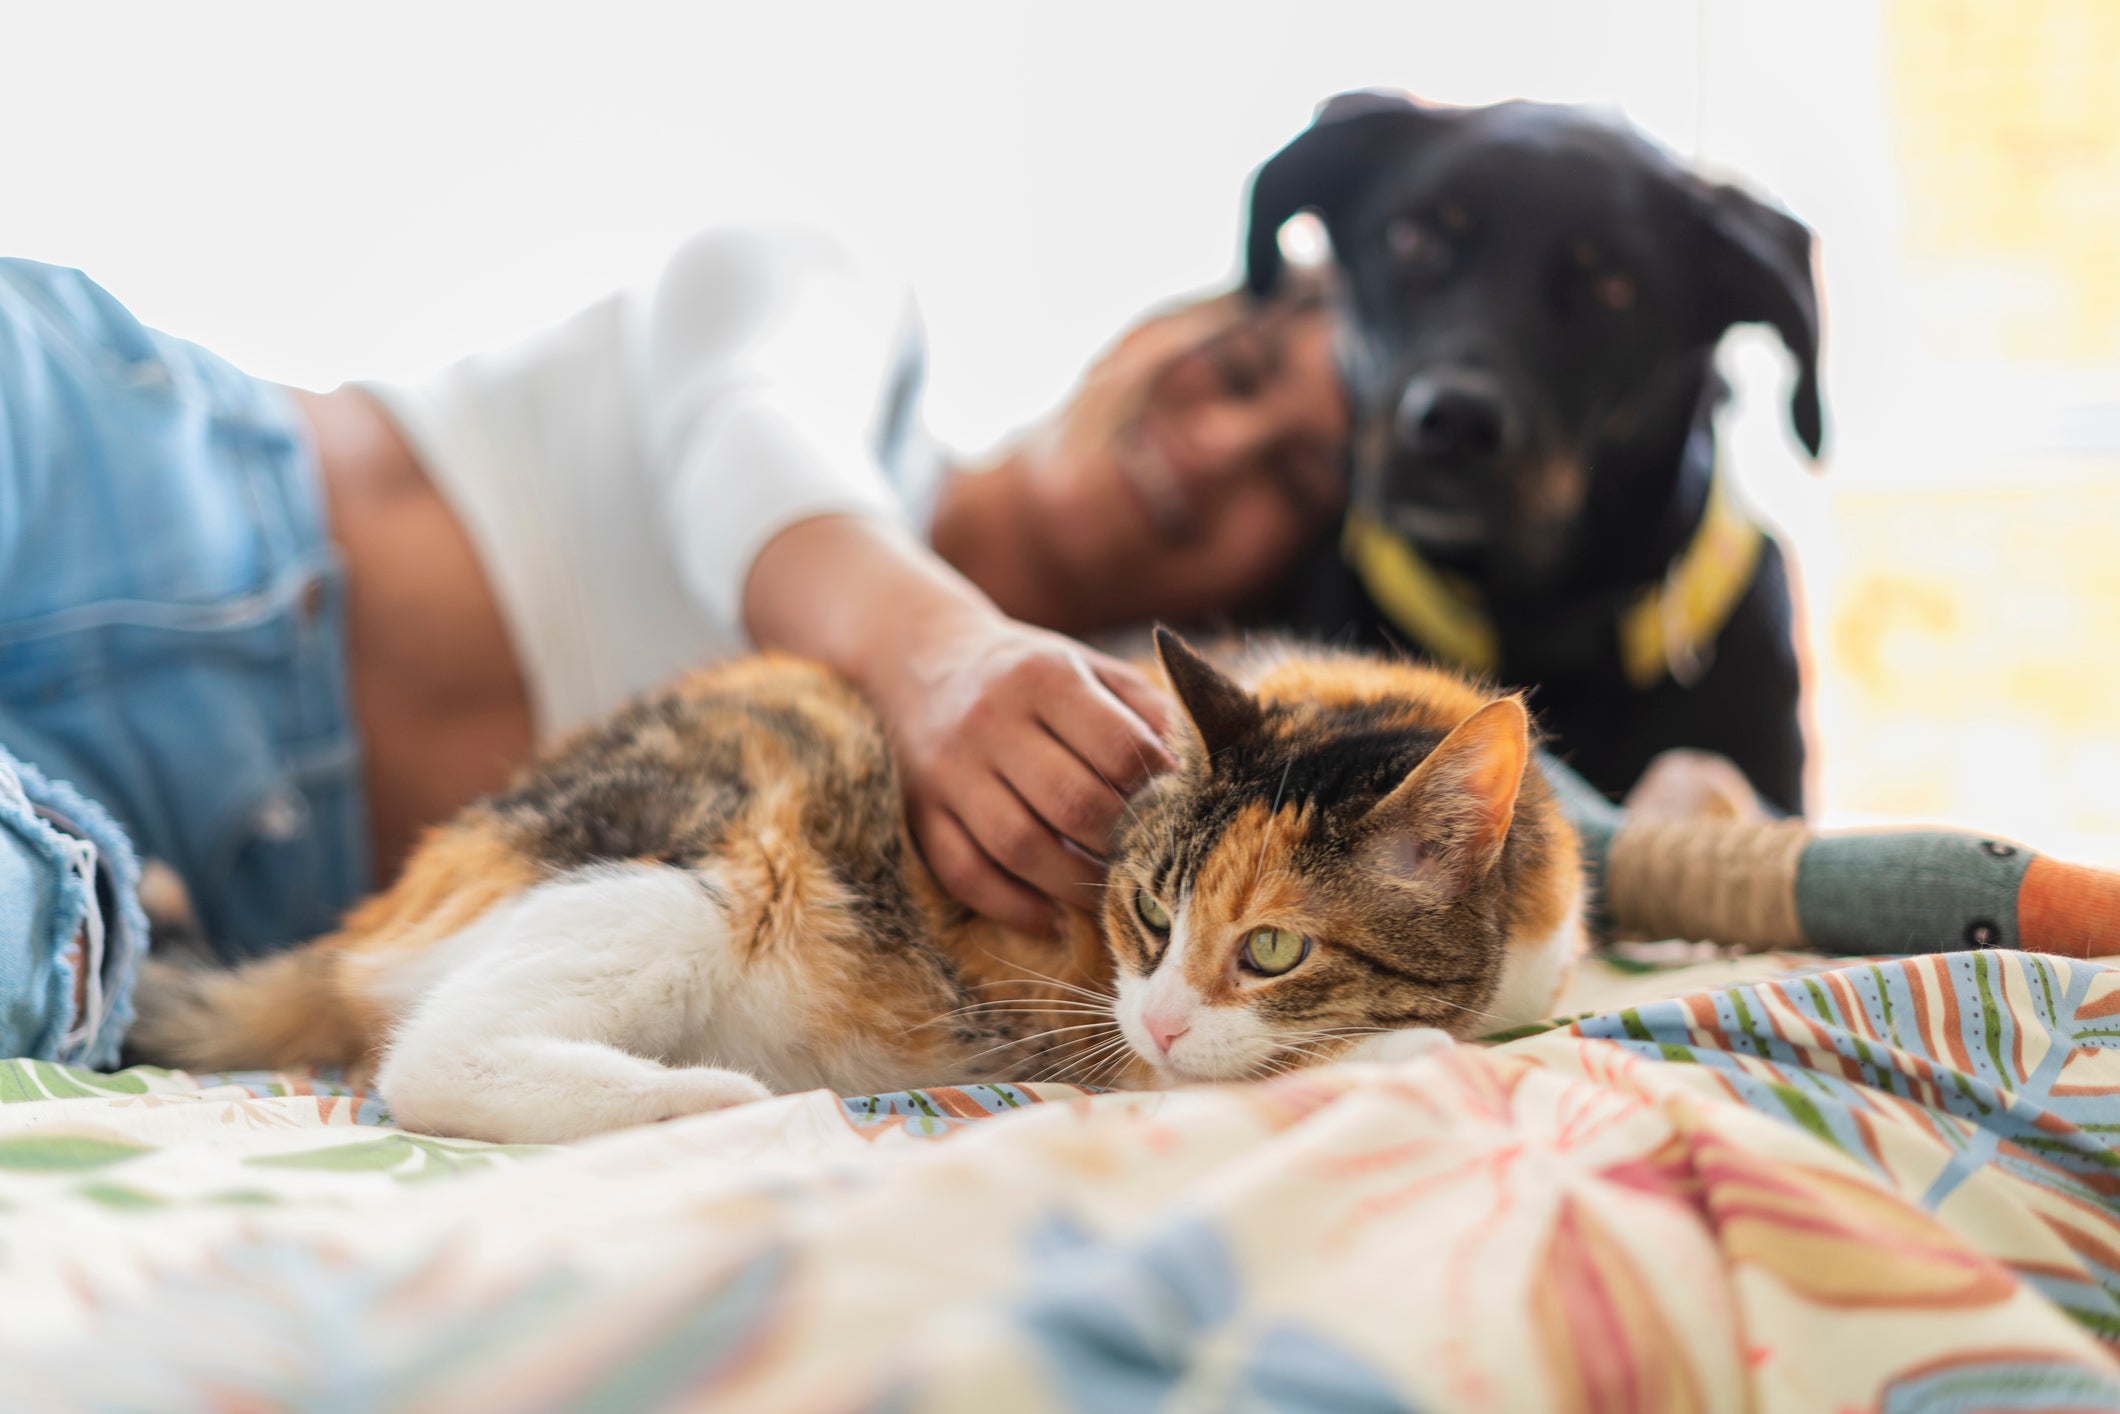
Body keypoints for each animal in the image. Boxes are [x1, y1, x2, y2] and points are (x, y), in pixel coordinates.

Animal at [132, 635, 1585, 1144]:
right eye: (1150, 914)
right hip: (708, 867)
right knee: (430, 1058)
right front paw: (1404, 1047)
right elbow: (1277, 1063)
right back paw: (706, 1096)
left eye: (1274, 946)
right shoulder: (1108, 1035)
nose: (1166, 1012)